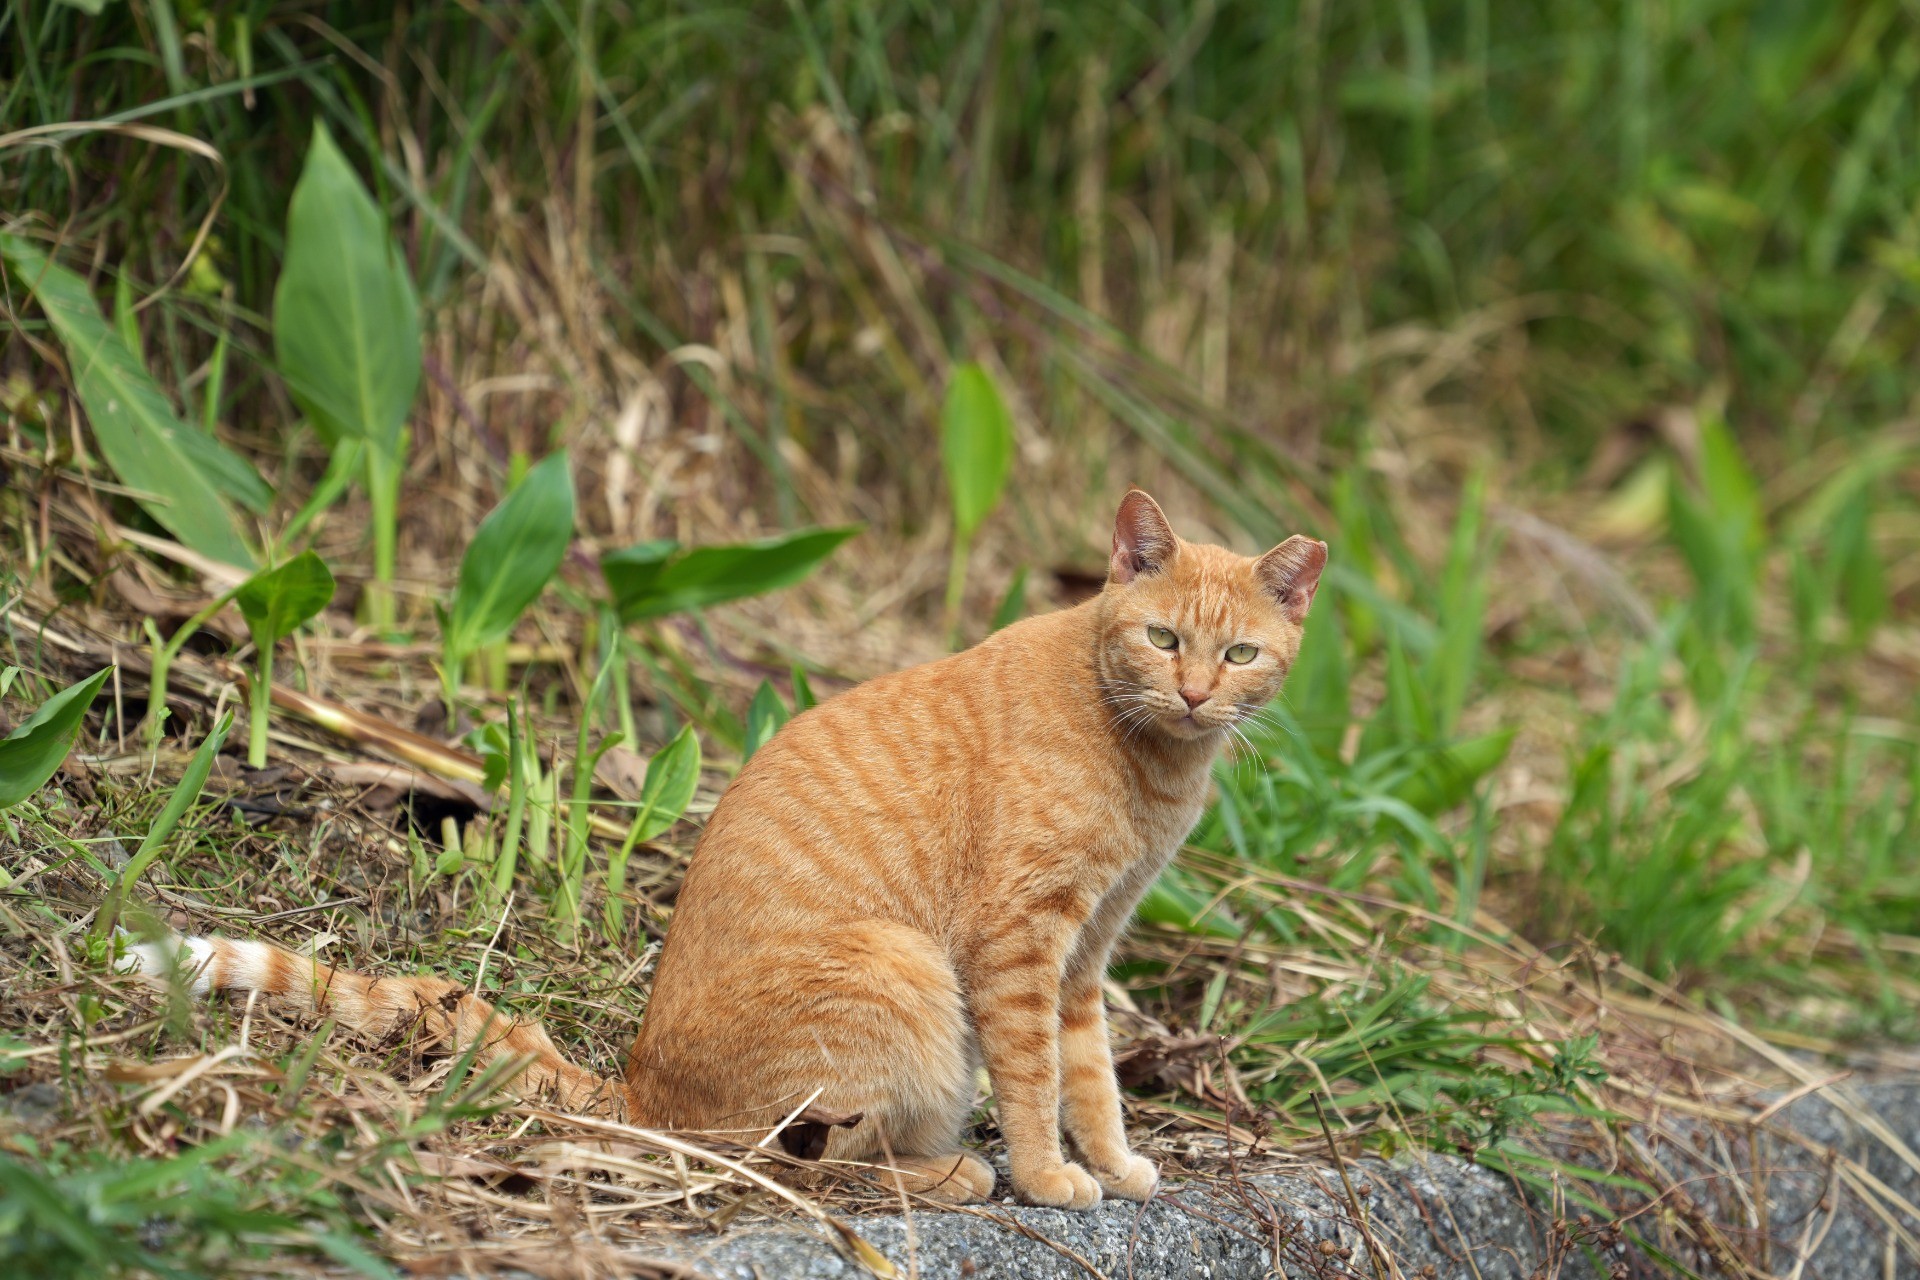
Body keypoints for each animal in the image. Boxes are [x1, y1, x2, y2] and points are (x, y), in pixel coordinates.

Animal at [120, 491, 1320, 1212]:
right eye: (1162, 638)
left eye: (1239, 653)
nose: (1196, 691)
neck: (1152, 761)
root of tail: (639, 1085)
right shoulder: (1021, 940)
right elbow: (1035, 1080)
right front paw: (1048, 1174)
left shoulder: (1087, 951)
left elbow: (1090, 1073)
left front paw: (1111, 1162)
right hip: (906, 974)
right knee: (808, 1157)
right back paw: (960, 1171)